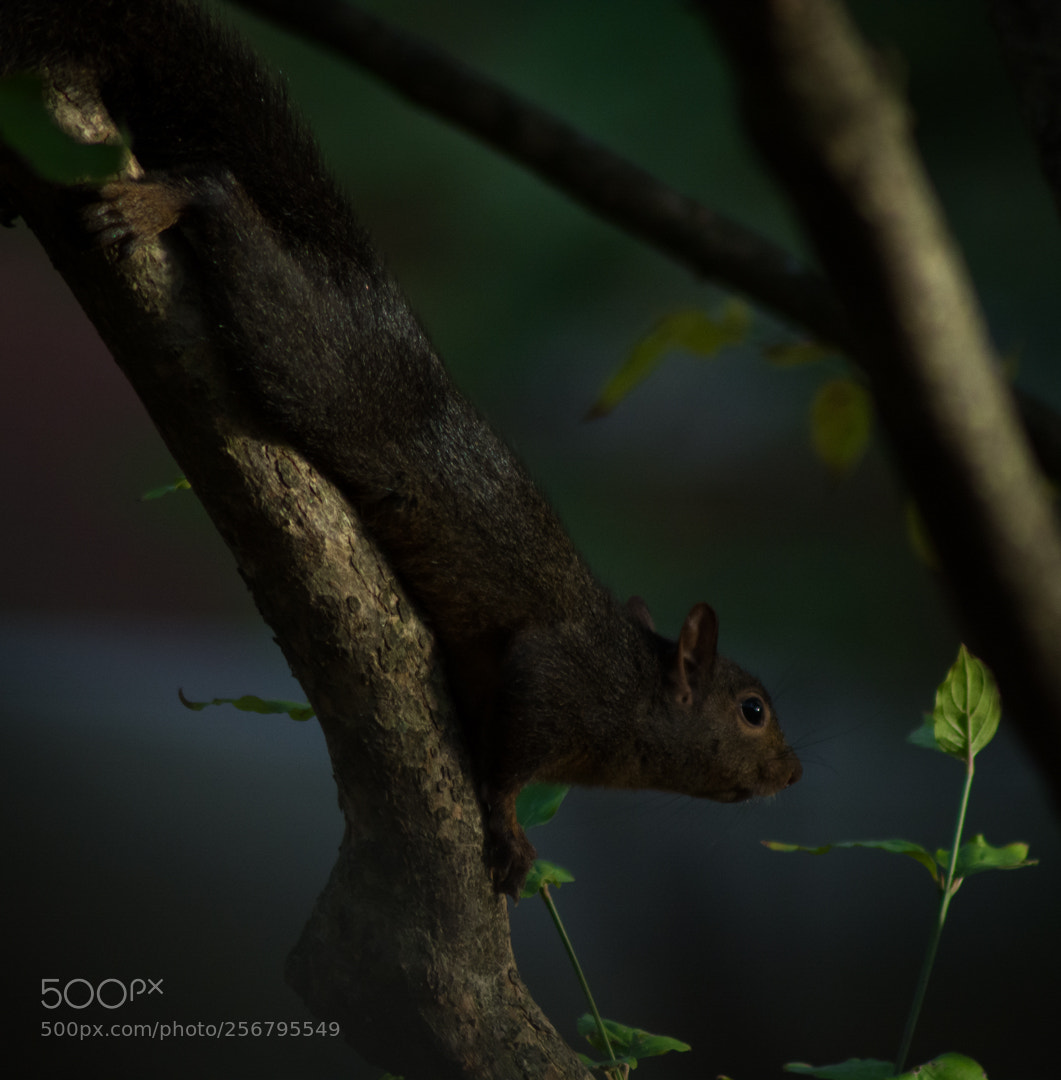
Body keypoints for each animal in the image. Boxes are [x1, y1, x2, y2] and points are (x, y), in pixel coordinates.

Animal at [1, 0, 801, 896]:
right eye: (752, 711)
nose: (794, 771)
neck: (633, 690)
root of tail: (360, 282)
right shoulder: (556, 683)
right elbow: (508, 758)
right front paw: (508, 830)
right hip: (308, 352)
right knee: (225, 196)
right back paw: (165, 204)